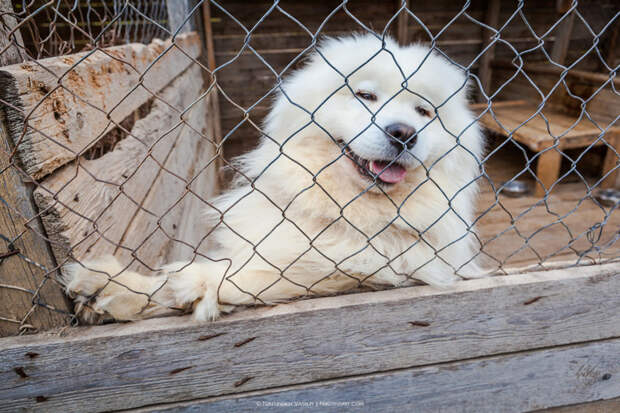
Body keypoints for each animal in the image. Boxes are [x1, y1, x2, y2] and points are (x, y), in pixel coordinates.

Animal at [65, 33, 486, 322]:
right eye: (365, 95)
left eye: (424, 112)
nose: (403, 133)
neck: (346, 212)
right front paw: (110, 287)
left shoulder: (366, 270)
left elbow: (255, 275)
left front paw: (191, 285)